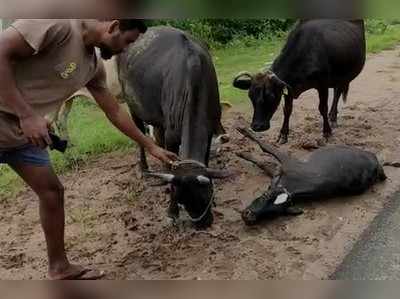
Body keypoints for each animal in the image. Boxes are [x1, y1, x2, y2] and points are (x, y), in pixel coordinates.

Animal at [117, 27, 230, 229]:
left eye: (207, 194)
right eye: (182, 200)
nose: (203, 224)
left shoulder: (209, 131)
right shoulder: (172, 136)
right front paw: (171, 212)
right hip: (132, 107)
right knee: (140, 136)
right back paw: (143, 168)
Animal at [231, 19, 366, 144]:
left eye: (271, 96)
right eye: (250, 96)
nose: (257, 126)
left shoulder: (322, 84)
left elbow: (322, 107)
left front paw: (327, 133)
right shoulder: (288, 88)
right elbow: (287, 110)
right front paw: (283, 134)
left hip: (342, 76)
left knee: (337, 93)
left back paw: (332, 118)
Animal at [238, 127, 388, 226]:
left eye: (272, 213)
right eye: (264, 196)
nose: (249, 217)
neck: (290, 188)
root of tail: (375, 161)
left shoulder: (286, 162)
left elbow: (264, 148)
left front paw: (241, 151)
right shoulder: (281, 168)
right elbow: (263, 155)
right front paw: (242, 133)